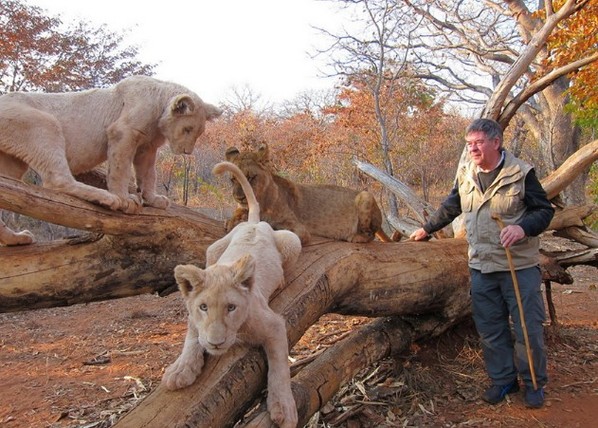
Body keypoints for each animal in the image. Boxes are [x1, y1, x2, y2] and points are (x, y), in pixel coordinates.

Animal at [0, 75, 223, 246]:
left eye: (199, 132)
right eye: (187, 129)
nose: (187, 151)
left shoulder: (147, 147)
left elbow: (148, 175)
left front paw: (154, 199)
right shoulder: (124, 132)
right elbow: (120, 169)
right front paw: (125, 200)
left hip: (12, 161)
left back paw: (16, 239)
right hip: (43, 124)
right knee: (57, 180)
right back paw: (106, 198)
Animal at [163, 161, 302, 428]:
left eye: (231, 307)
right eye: (203, 307)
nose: (216, 343)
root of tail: (254, 223)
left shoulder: (274, 325)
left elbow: (279, 365)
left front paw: (284, 407)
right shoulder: (193, 317)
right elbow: (192, 336)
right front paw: (180, 370)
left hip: (293, 240)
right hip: (213, 248)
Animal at [223, 143, 392, 244]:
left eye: (250, 178)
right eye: (232, 179)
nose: (238, 197)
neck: (260, 200)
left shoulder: (299, 229)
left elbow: (272, 226)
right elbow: (239, 212)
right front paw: (232, 220)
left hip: (365, 196)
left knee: (370, 234)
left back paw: (354, 236)